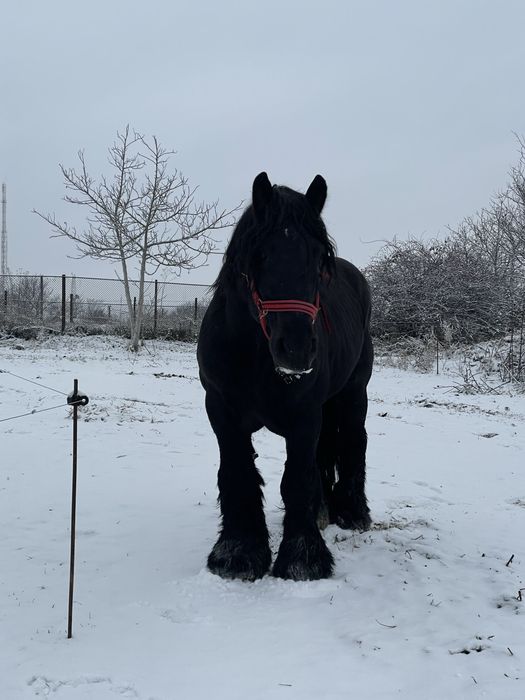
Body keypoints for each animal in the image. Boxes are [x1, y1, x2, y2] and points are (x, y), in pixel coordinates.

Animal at [197, 172, 373, 581]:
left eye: (320, 258)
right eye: (259, 254)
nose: (296, 349)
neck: (253, 357)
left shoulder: (304, 416)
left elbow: (296, 479)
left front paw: (302, 559)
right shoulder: (222, 413)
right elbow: (238, 472)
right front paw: (238, 552)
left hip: (354, 394)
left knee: (354, 441)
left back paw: (353, 511)